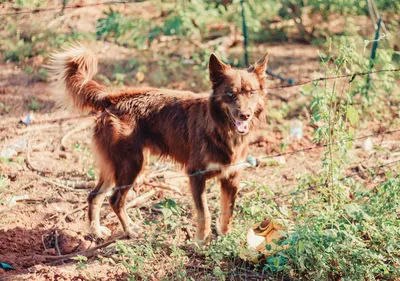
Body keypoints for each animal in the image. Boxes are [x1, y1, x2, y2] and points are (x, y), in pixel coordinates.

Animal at [50, 44, 268, 242]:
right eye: (230, 94)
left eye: (251, 93)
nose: (245, 115)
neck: (222, 130)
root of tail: (113, 99)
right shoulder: (196, 175)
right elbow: (204, 213)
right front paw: (201, 241)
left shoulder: (231, 177)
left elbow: (227, 212)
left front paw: (224, 237)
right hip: (132, 165)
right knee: (115, 200)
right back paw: (130, 230)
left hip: (115, 167)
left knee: (94, 195)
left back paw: (96, 231)